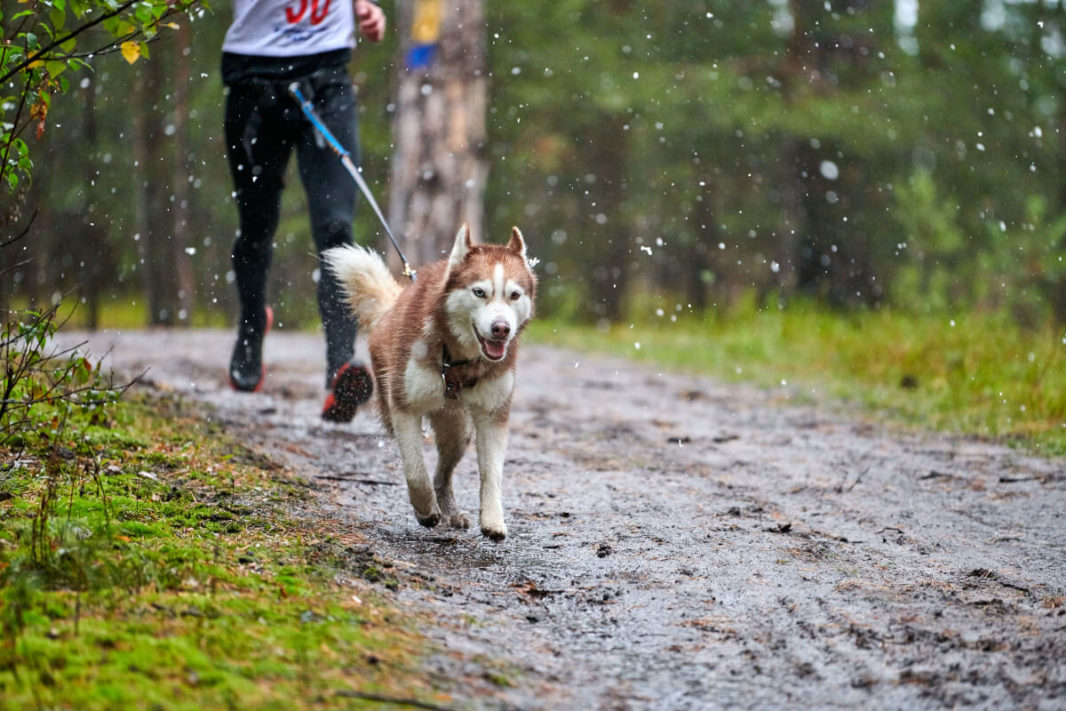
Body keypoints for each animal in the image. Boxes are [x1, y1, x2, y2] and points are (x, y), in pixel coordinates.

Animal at [321, 224, 537, 541]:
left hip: (458, 429)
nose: (501, 329)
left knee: (442, 474)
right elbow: (414, 471)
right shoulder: (404, 407)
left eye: (514, 295)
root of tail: (394, 304)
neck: (460, 360)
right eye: (479, 292)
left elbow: (492, 474)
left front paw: (493, 519)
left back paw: (450, 509)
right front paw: (425, 510)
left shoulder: (493, 414)